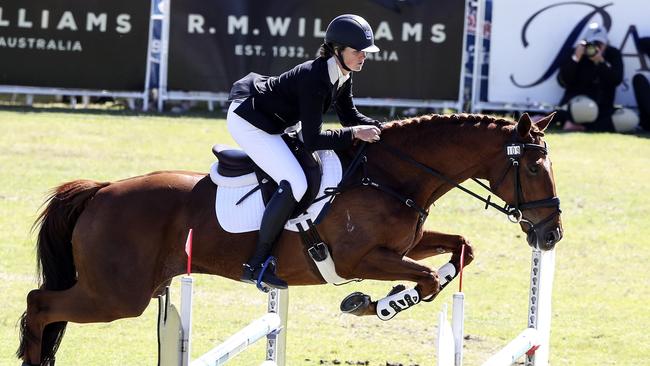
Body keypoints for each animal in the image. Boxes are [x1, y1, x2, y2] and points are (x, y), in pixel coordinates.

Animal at [17, 113, 560, 364]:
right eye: (534, 167)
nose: (551, 233)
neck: (389, 176)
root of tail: (101, 190)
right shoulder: (359, 258)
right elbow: (424, 280)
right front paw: (376, 304)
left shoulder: (404, 246)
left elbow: (460, 249)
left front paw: (378, 301)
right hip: (117, 296)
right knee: (40, 303)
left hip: (127, 292)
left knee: (42, 303)